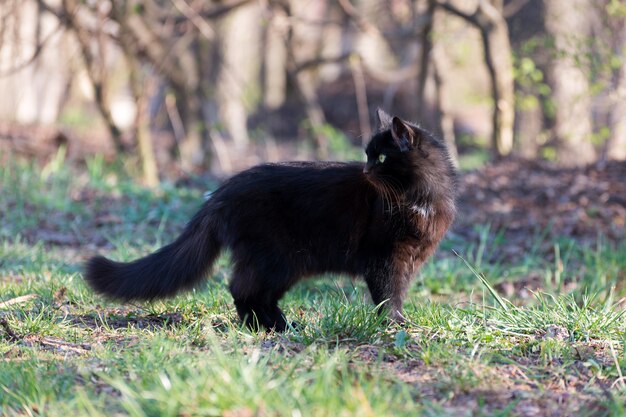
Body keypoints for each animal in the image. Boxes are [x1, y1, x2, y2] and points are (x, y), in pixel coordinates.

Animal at [84, 109, 454, 330]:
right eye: (367, 155)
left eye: (380, 157)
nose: (364, 170)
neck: (420, 199)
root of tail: (220, 192)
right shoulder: (384, 260)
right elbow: (389, 295)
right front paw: (396, 325)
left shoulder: (409, 259)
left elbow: (398, 292)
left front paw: (399, 323)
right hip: (279, 258)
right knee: (242, 289)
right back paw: (272, 327)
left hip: (279, 261)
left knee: (251, 291)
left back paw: (274, 325)